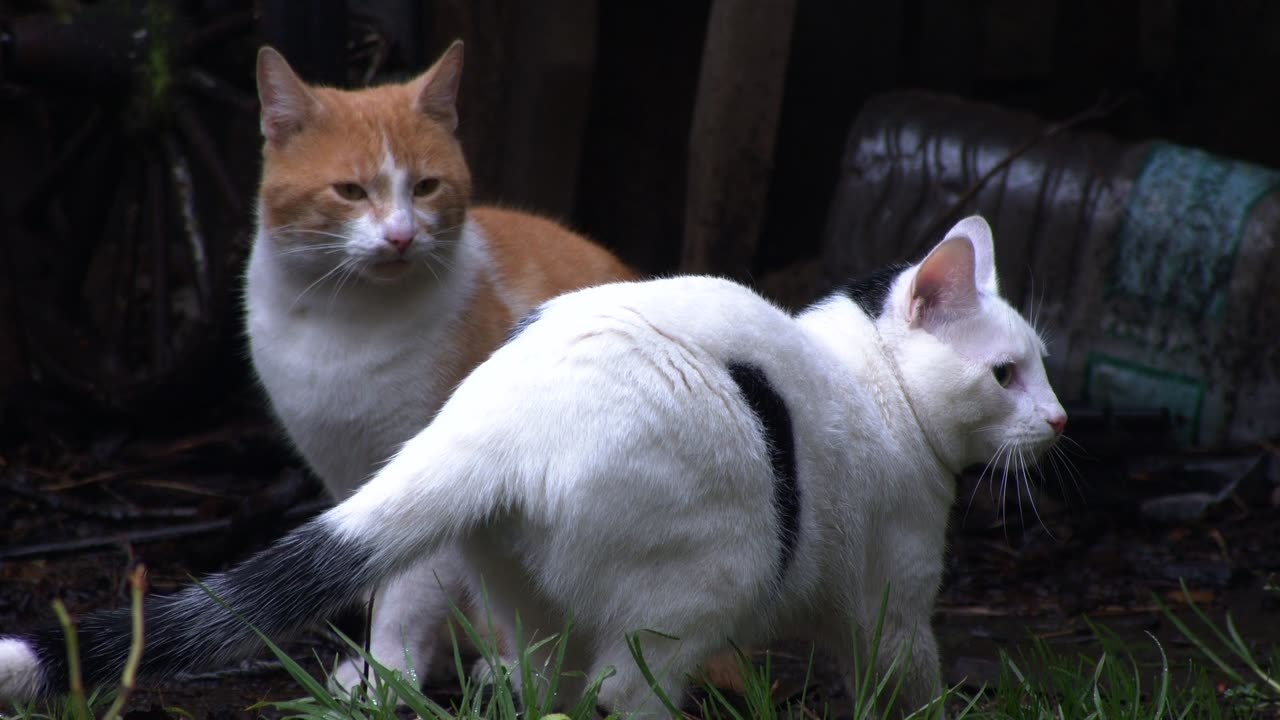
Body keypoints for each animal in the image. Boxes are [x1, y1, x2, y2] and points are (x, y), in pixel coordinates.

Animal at [0, 215, 1064, 712]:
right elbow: (908, 685)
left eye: (1043, 368)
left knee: (527, 687)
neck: (876, 383)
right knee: (614, 698)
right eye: (1006, 374)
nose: (1057, 419)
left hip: (522, 594)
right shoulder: (893, 604)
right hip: (694, 592)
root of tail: (495, 424)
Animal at [243, 41, 629, 686]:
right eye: (350, 191)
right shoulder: (345, 468)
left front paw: (385, 677)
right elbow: (372, 566)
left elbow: (409, 593)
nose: (400, 237)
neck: (344, 322)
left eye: (425, 187)